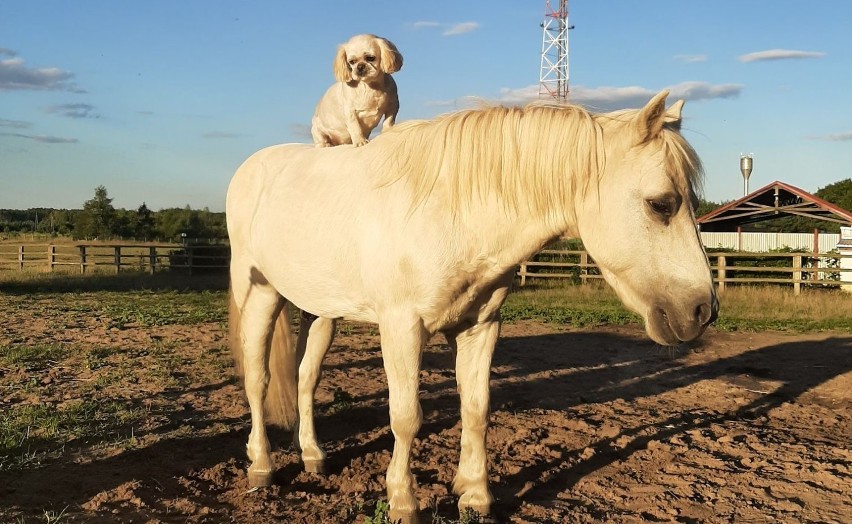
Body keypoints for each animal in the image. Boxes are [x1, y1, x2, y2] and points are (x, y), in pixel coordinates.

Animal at [228, 91, 720, 524]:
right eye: (660, 204)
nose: (702, 311)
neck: (451, 212)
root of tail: (248, 169)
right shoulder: (401, 328)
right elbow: (406, 418)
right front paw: (404, 501)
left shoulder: (480, 326)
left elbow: (476, 410)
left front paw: (475, 494)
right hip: (261, 296)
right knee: (258, 380)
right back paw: (261, 465)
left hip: (320, 311)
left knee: (305, 378)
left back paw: (312, 455)